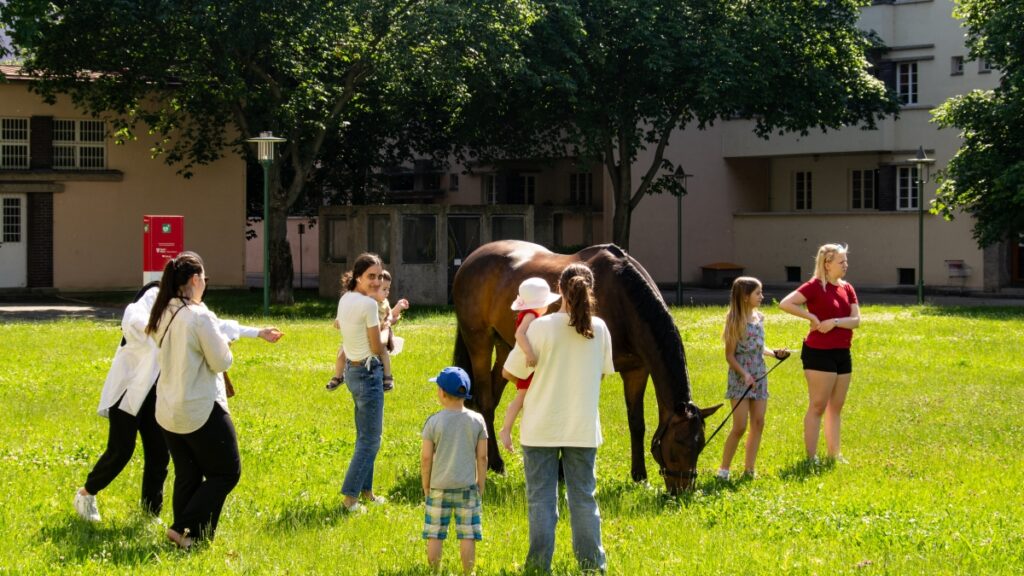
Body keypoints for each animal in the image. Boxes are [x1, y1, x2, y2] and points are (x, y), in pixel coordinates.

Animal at [456, 239, 720, 491]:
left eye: (700, 445)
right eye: (678, 443)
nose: (683, 491)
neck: (622, 298)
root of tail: (470, 260)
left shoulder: (636, 371)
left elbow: (636, 423)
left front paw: (640, 477)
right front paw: (562, 472)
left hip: (506, 348)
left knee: (490, 399)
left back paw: (493, 463)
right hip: (480, 342)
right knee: (486, 402)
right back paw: (498, 463)